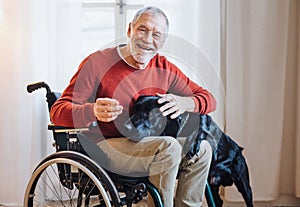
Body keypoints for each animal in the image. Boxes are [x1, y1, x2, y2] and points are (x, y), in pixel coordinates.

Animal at [122, 96, 253, 207]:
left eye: (150, 114)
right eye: (134, 109)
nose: (125, 127)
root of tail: (240, 150)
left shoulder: (205, 122)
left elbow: (200, 127)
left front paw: (192, 145)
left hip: (243, 182)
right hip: (212, 185)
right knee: (219, 201)